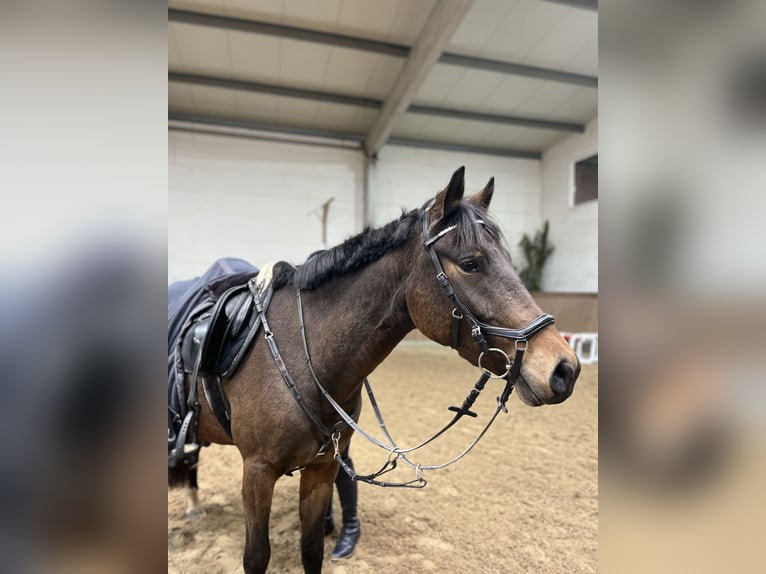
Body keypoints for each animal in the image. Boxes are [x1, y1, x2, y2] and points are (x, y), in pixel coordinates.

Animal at [171, 165, 580, 572]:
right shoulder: (257, 472)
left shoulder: (322, 470)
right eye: (470, 263)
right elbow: (257, 557)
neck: (300, 356)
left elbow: (311, 548)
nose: (565, 368)